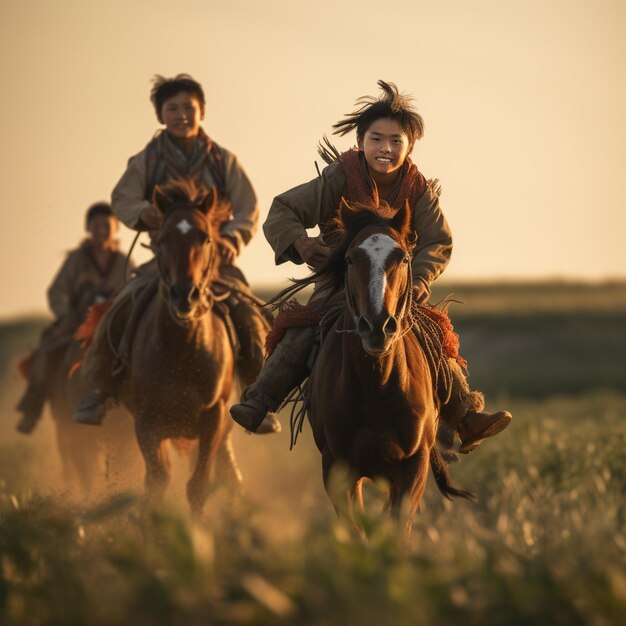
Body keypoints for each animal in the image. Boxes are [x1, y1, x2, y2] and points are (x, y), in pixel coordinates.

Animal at [117, 178, 241, 516]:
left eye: (206, 238)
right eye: (161, 240)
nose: (185, 295)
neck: (181, 353)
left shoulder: (213, 420)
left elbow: (198, 486)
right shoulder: (147, 422)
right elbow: (156, 483)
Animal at [276, 199, 468, 536]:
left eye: (403, 258)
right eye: (351, 259)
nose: (377, 326)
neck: (376, 387)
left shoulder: (413, 467)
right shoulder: (337, 470)